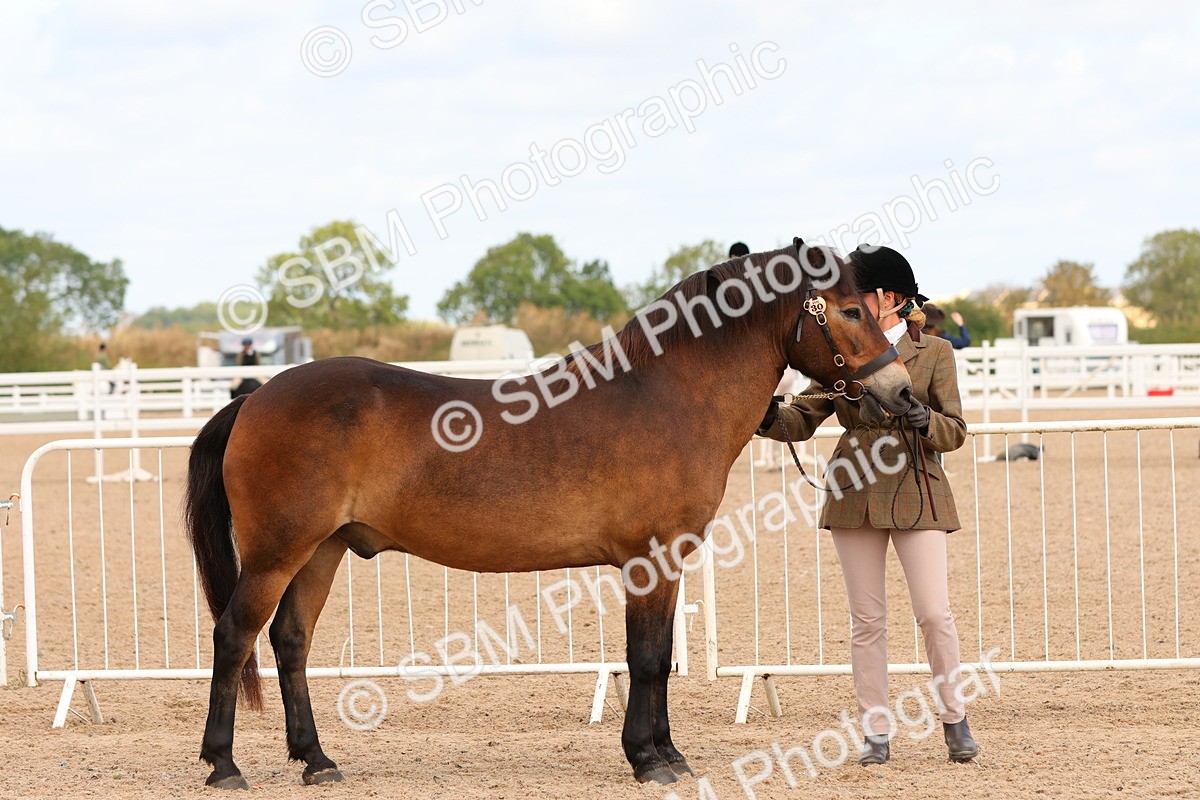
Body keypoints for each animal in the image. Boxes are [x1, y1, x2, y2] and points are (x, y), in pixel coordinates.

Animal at [184, 240, 913, 789]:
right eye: (850, 310)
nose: (902, 392)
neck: (665, 395)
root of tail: (255, 399)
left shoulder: (667, 563)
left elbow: (660, 657)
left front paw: (669, 753)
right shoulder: (647, 562)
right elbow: (646, 657)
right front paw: (647, 760)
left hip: (322, 549)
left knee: (290, 641)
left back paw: (316, 760)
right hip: (278, 553)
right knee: (235, 635)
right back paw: (224, 765)